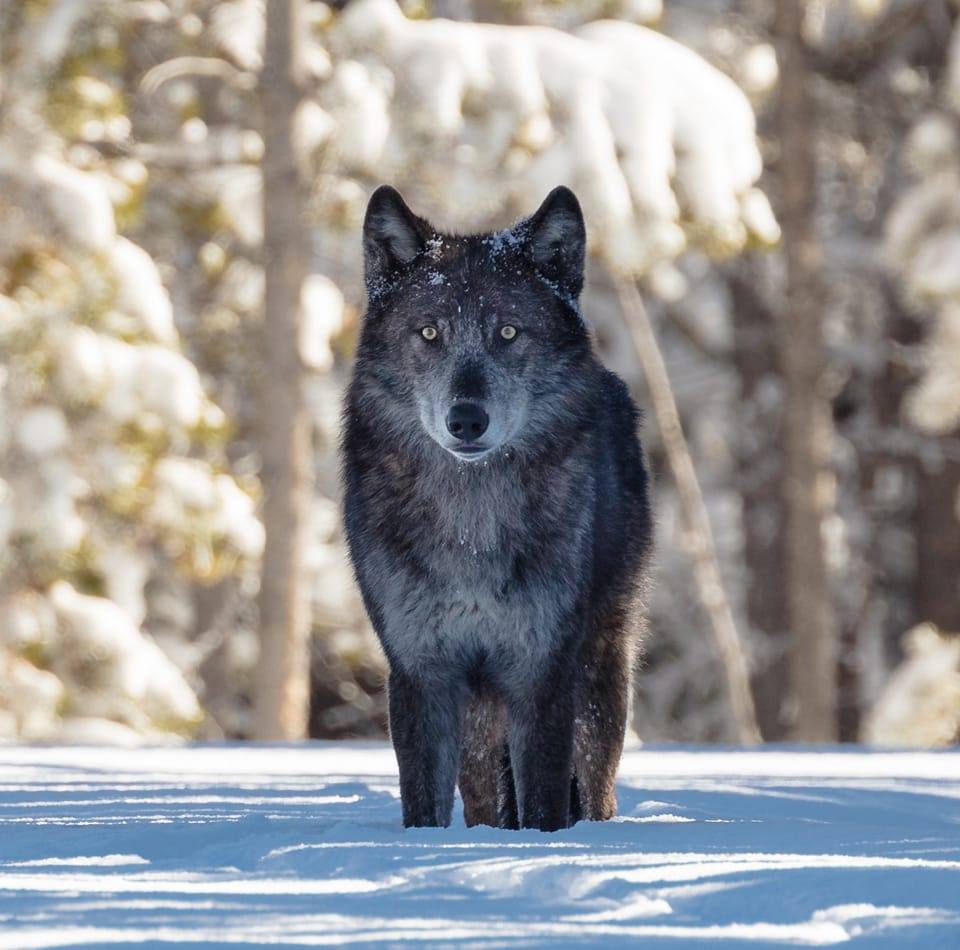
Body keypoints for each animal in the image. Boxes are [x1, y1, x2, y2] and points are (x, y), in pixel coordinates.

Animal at [342, 184, 652, 831]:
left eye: (508, 333)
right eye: (429, 333)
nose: (466, 419)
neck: (472, 527)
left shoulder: (542, 670)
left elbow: (544, 802)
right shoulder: (422, 671)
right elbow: (423, 805)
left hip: (599, 679)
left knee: (596, 786)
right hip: (482, 719)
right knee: (486, 797)